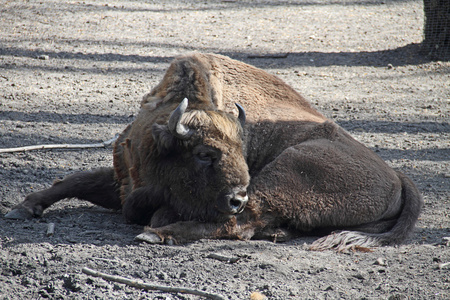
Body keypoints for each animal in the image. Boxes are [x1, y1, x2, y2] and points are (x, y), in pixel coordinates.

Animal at [5, 52, 424, 250]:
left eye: (242, 149)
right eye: (205, 154)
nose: (237, 196)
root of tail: (397, 175)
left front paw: (156, 221)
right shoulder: (121, 182)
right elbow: (74, 180)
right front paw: (23, 207)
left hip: (285, 172)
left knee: (238, 225)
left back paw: (157, 235)